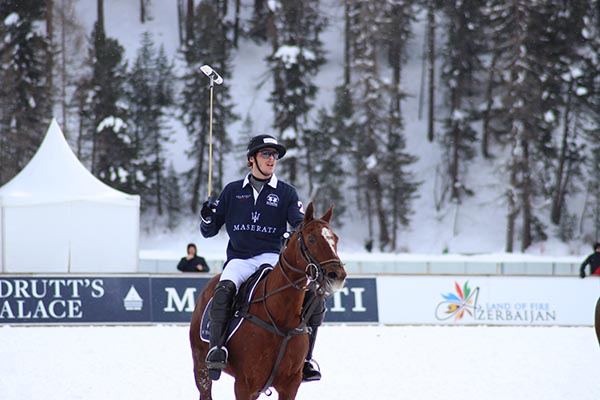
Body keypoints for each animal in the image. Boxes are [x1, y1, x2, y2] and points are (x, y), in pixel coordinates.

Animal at [189, 202, 347, 400]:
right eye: (311, 238)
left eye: (335, 239)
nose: (337, 276)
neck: (280, 318)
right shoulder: (244, 384)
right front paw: (208, 215)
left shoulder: (290, 384)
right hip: (201, 366)